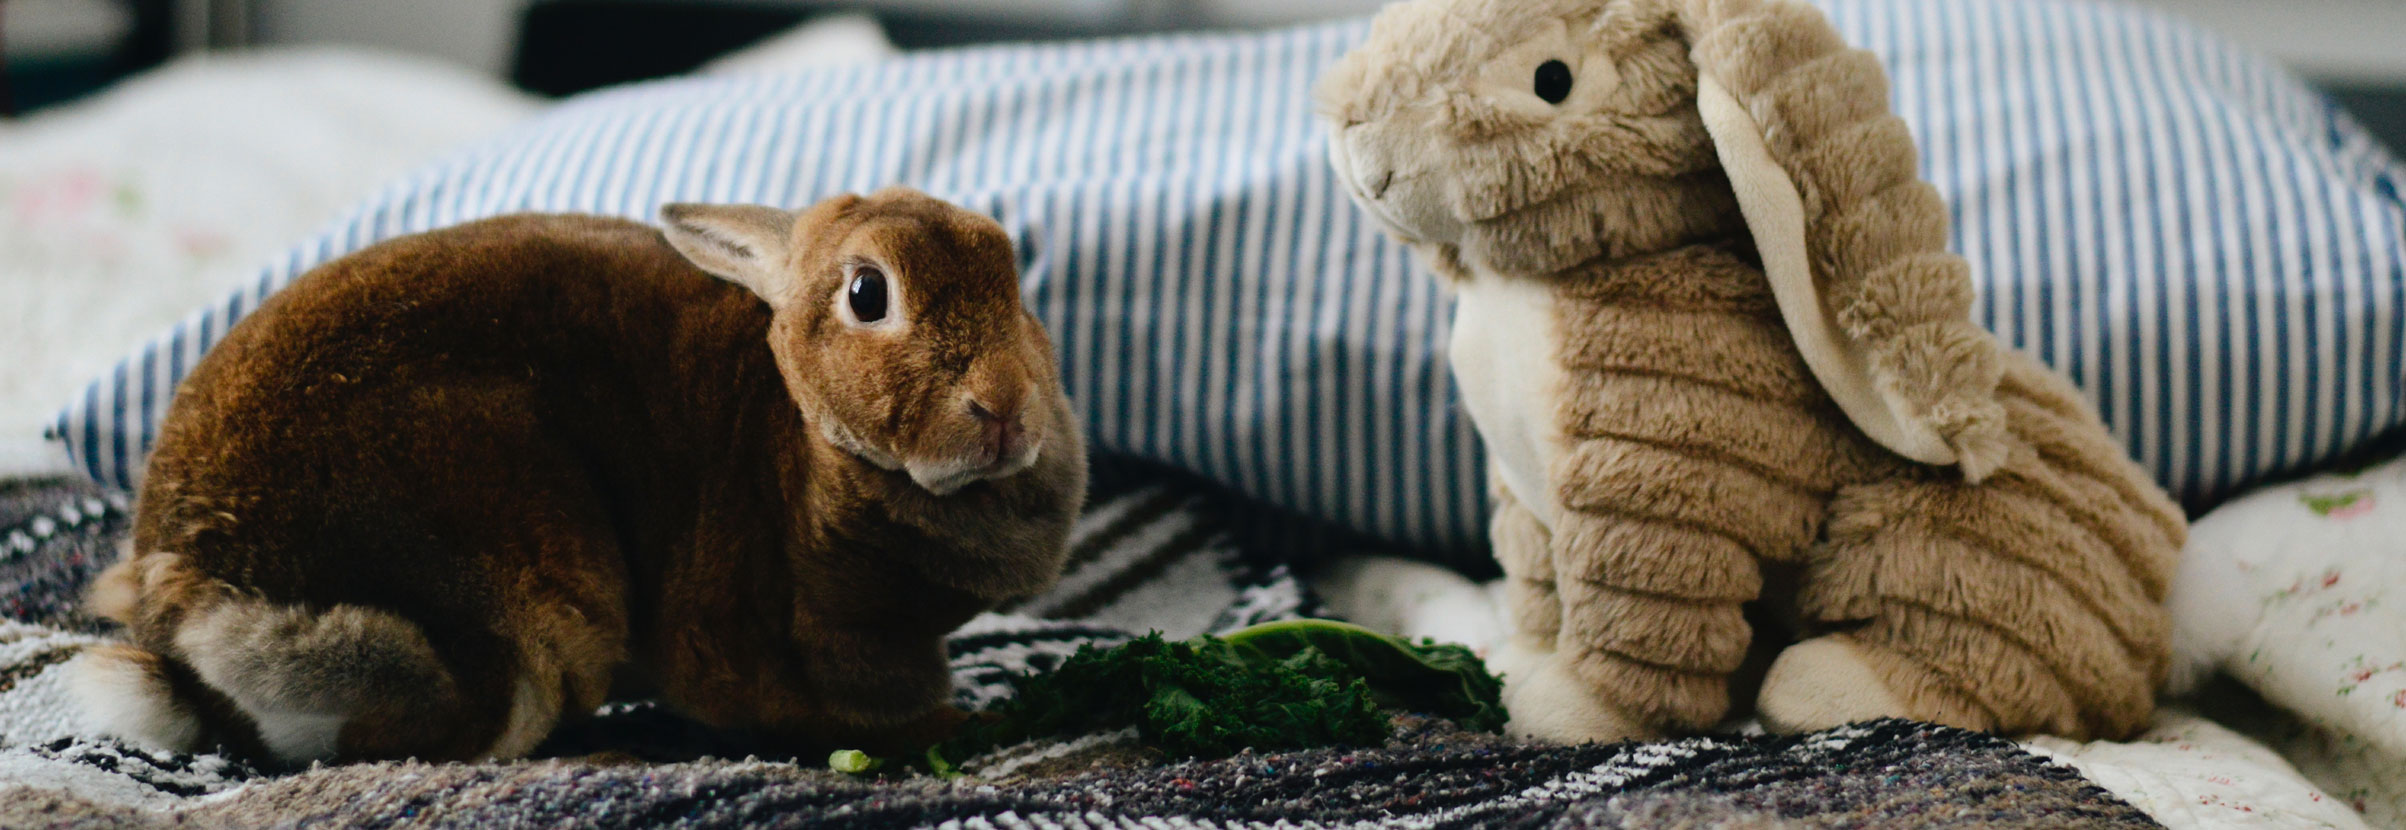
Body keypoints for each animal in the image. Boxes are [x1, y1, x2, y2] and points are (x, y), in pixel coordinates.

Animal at [65, 188, 1087, 765]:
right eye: (869, 293)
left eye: (1013, 280)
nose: (1005, 409)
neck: (804, 433)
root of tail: (187, 600)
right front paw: (954, 729)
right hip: (525, 596)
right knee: (418, 747)